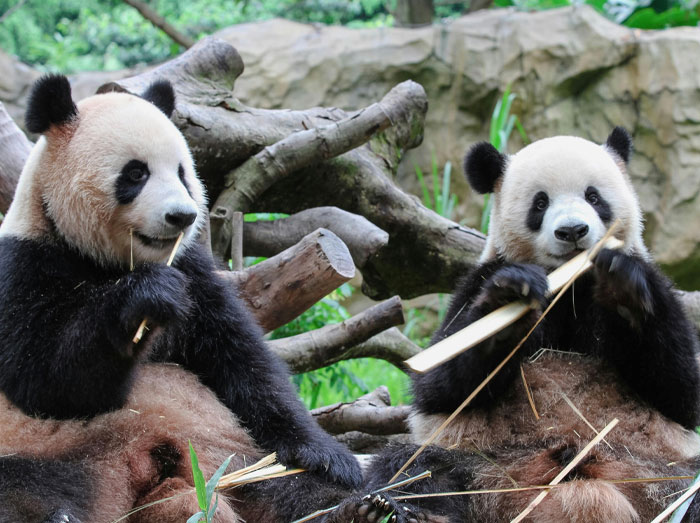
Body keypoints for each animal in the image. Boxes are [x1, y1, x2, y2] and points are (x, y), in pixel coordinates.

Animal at [0, 74, 367, 522]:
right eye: (135, 173)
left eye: (182, 172)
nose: (182, 216)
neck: (106, 262)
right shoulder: (25, 266)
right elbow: (47, 384)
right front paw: (147, 298)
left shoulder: (195, 274)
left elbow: (243, 363)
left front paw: (327, 455)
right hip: (47, 450)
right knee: (31, 484)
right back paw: (59, 512)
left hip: (233, 457)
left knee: (283, 485)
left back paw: (358, 506)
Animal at [355, 129, 700, 522]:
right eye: (540, 203)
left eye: (593, 196)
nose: (572, 231)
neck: (570, 283)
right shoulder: (478, 281)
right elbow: (440, 388)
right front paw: (511, 303)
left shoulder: (655, 287)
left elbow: (680, 389)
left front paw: (623, 291)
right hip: (483, 464)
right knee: (416, 468)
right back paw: (395, 509)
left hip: (658, 472)